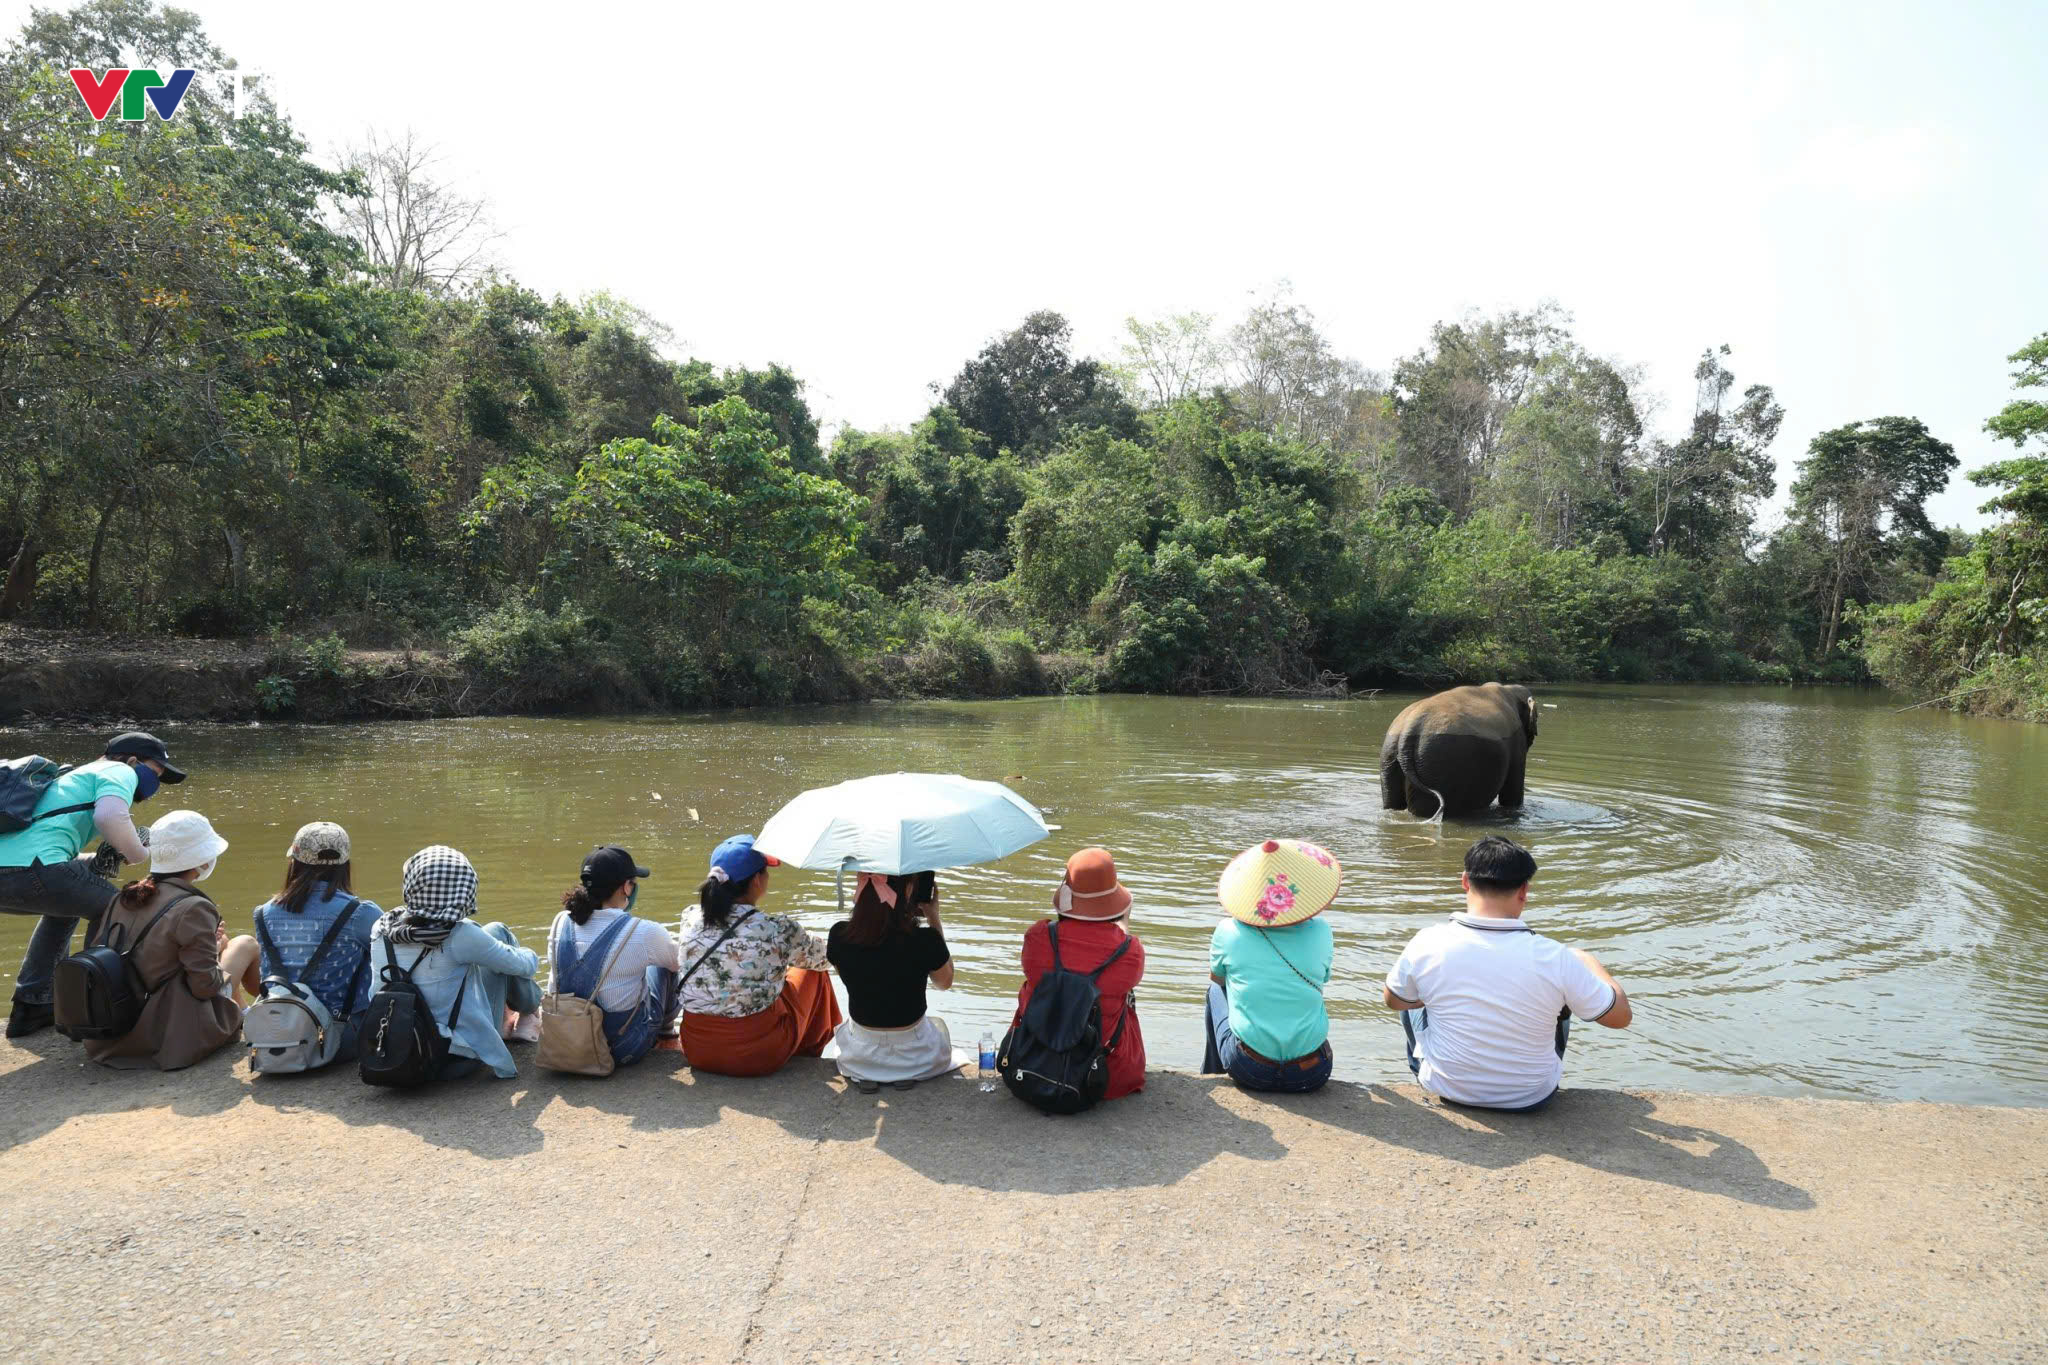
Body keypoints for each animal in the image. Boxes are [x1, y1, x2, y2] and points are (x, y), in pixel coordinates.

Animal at [1376, 687, 1540, 818]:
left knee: (1392, 802)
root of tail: (1408, 729)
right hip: (1435, 762)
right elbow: (1511, 796)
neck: (1510, 690)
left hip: (1390, 756)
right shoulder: (1517, 740)